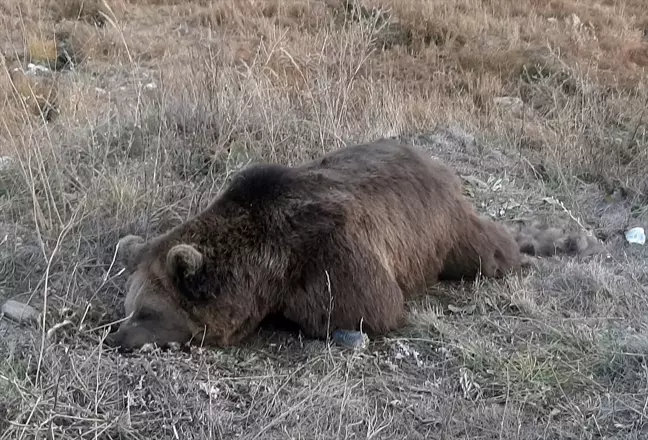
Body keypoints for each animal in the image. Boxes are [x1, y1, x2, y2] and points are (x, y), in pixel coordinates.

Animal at [104, 139, 596, 352]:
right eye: (126, 308)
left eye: (147, 312)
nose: (116, 337)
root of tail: (438, 164)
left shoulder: (333, 257)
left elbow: (368, 308)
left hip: (446, 232)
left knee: (487, 252)